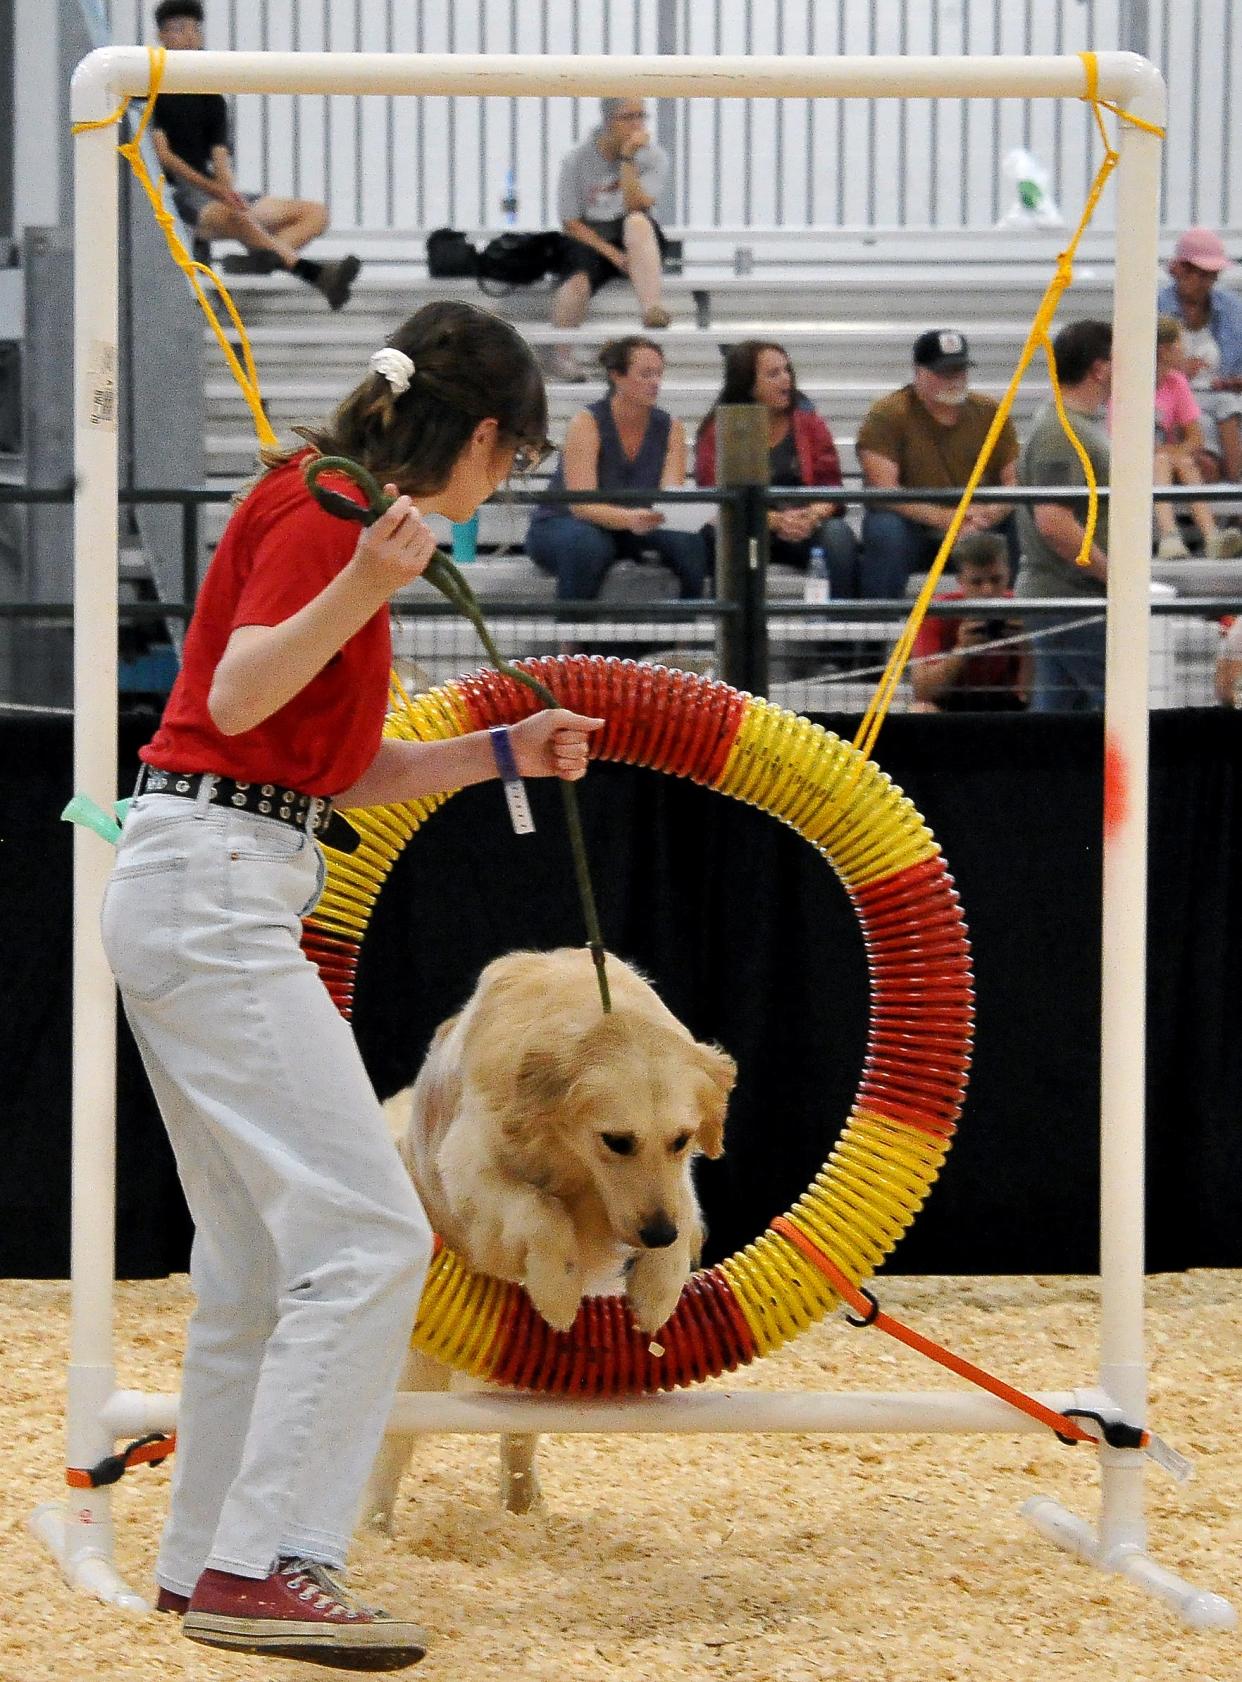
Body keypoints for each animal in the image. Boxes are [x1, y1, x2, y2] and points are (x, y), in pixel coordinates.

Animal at [363, 948, 730, 1527]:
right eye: (617, 1141)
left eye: (680, 1139)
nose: (654, 1234)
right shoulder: (472, 1169)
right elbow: (540, 1212)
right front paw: (557, 1291)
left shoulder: (673, 1187)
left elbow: (683, 1207)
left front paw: (657, 1293)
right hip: (418, 1368)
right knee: (392, 1445)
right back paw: (376, 1527)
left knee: (517, 1438)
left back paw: (523, 1508)